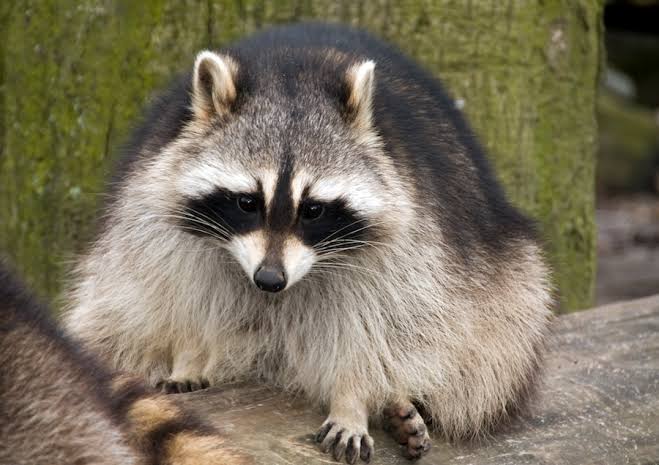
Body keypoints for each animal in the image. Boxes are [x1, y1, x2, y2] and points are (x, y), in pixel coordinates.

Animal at [65, 23, 553, 463]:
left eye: (313, 210)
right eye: (247, 202)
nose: (269, 280)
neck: (293, 72)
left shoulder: (411, 240)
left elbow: (385, 326)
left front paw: (354, 399)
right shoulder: (154, 205)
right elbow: (176, 294)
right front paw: (189, 354)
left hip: (504, 285)